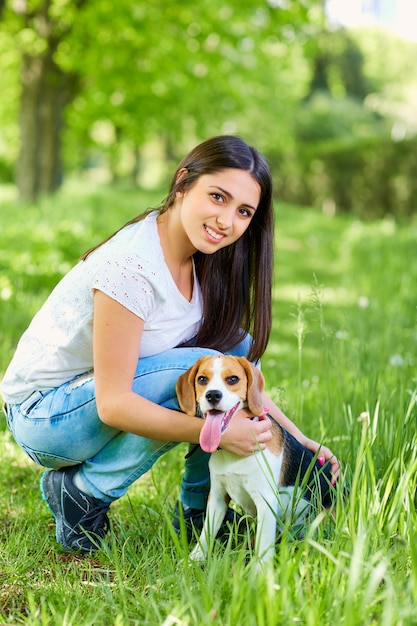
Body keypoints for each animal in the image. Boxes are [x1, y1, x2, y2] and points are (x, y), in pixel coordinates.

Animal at [174, 354, 334, 564]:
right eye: (202, 379)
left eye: (233, 379)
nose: (213, 395)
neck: (234, 455)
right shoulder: (217, 496)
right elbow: (206, 533)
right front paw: (195, 559)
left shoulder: (265, 500)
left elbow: (263, 544)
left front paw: (261, 570)